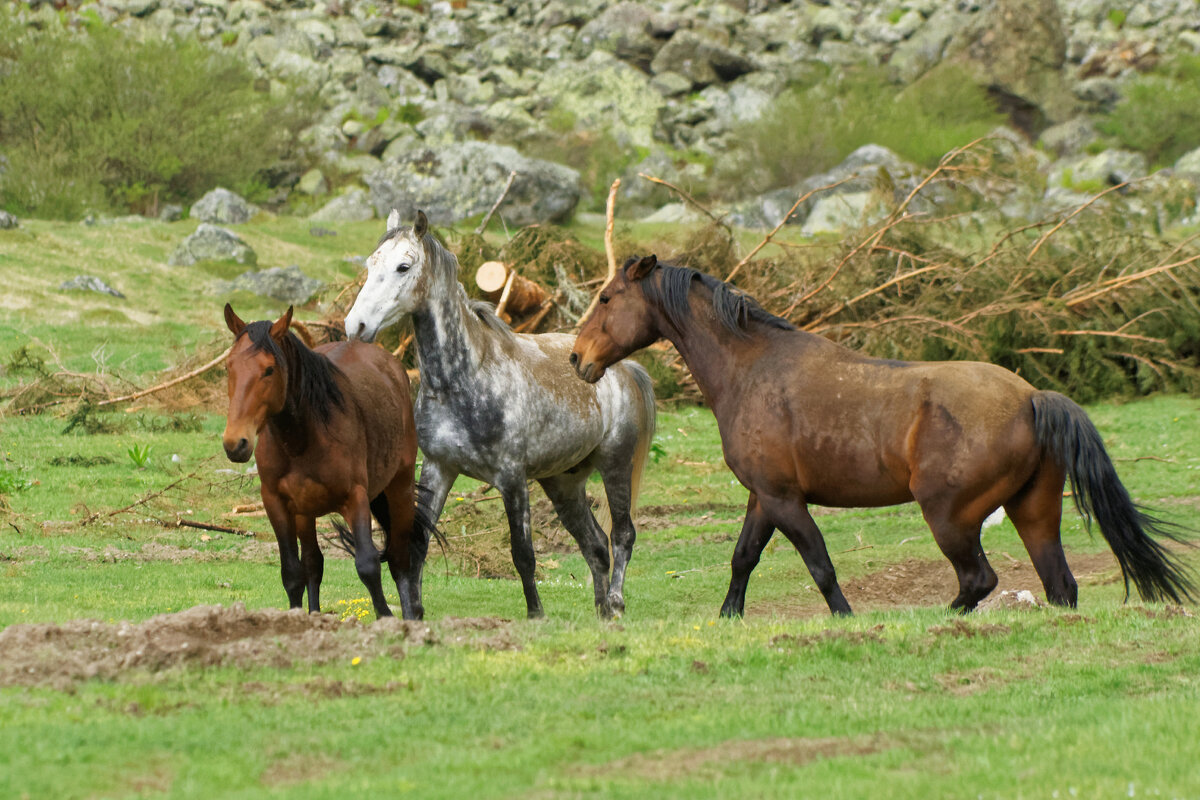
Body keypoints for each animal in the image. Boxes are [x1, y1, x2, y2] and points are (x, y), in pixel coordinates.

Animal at [223, 303, 429, 623]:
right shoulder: (276, 503)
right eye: (229, 367)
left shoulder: (355, 497)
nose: (236, 443)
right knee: (313, 562)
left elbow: (368, 564)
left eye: (269, 369)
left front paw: (385, 618)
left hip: (401, 487)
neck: (302, 439)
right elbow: (293, 572)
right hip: (305, 512)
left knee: (399, 559)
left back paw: (411, 616)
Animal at [343, 208, 657, 618]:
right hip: (563, 483)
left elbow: (523, 554)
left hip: (615, 462)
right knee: (595, 546)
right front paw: (414, 614)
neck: (464, 379)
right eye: (370, 264)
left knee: (622, 534)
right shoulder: (438, 469)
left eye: (403, 266)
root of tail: (623, 368)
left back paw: (616, 604)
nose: (356, 326)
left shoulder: (511, 477)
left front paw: (536, 615)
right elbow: (417, 547)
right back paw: (603, 612)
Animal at [568, 253, 1190, 618]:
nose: (577, 358)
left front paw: (845, 618)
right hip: (1033, 511)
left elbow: (819, 563)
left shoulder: (784, 499)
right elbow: (743, 558)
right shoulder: (762, 498)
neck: (751, 367)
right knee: (1060, 585)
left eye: (606, 299)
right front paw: (728, 617)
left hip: (949, 516)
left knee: (979, 579)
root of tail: (1032, 397)